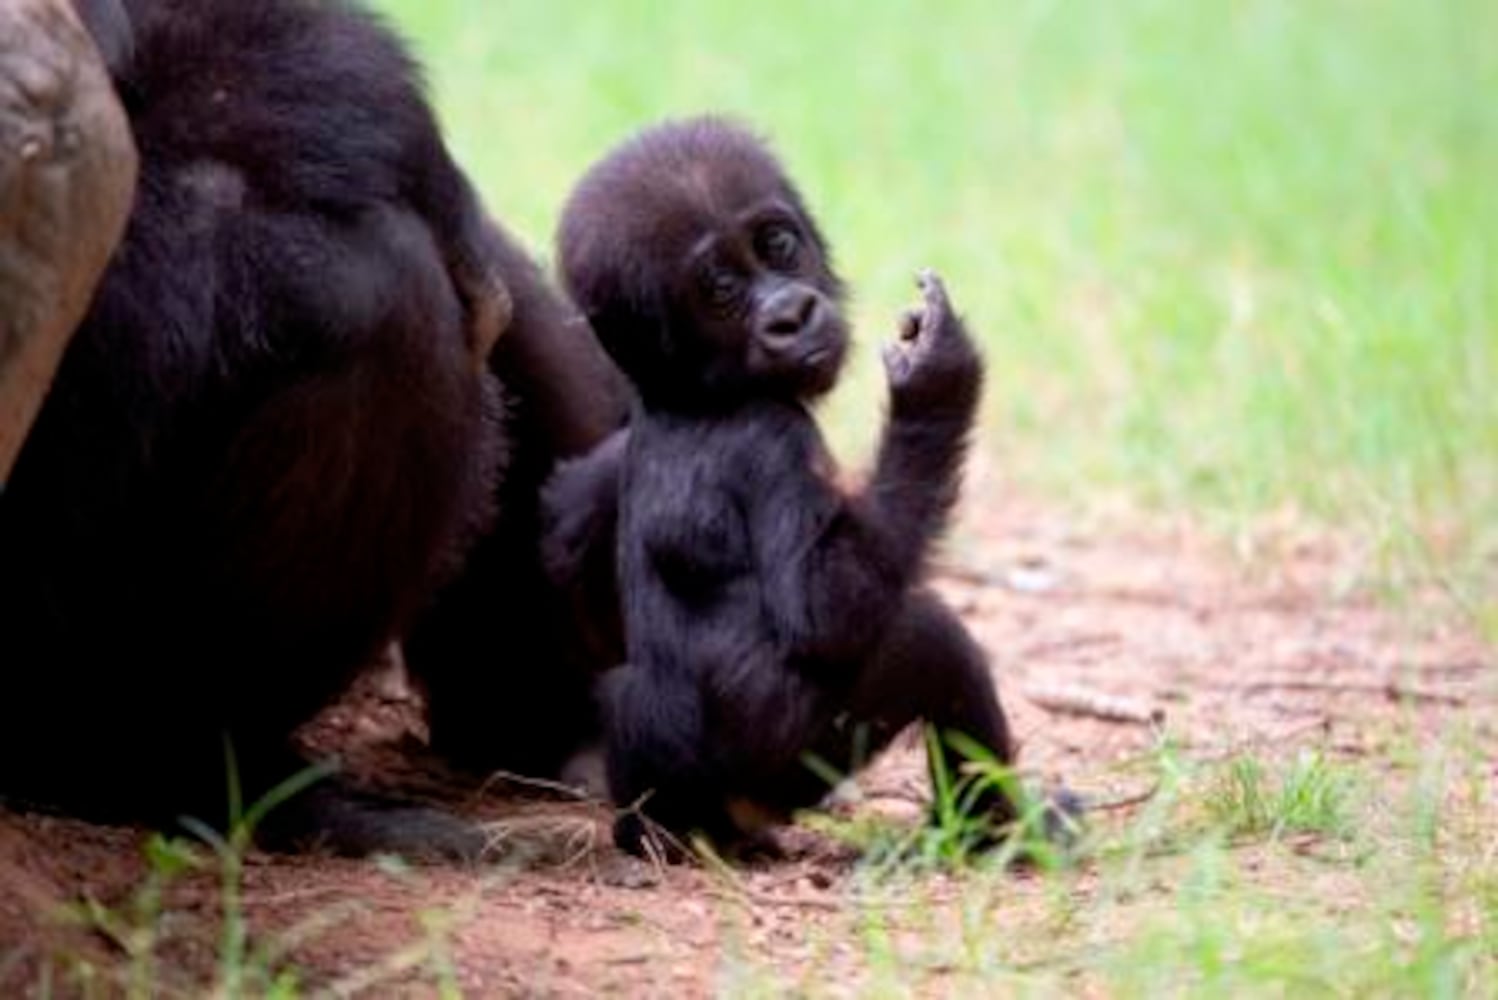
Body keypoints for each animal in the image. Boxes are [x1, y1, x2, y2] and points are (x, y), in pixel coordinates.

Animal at [557, 115, 1036, 850]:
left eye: (776, 245)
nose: (790, 314)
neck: (690, 393)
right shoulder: (773, 441)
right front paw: (935, 384)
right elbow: (824, 609)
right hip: (791, 765)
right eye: (720, 290)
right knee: (928, 640)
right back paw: (992, 835)